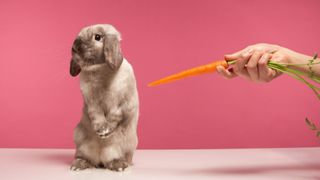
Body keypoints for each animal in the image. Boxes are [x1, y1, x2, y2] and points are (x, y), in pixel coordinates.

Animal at [69, 24, 139, 172]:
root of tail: (100, 159)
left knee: (114, 159)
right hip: (81, 142)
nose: (75, 47)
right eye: (78, 36)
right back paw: (79, 165)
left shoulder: (123, 103)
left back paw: (119, 165)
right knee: (84, 157)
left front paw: (104, 132)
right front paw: (101, 129)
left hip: (126, 146)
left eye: (98, 37)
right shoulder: (91, 101)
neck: (99, 70)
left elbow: (114, 116)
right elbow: (96, 114)